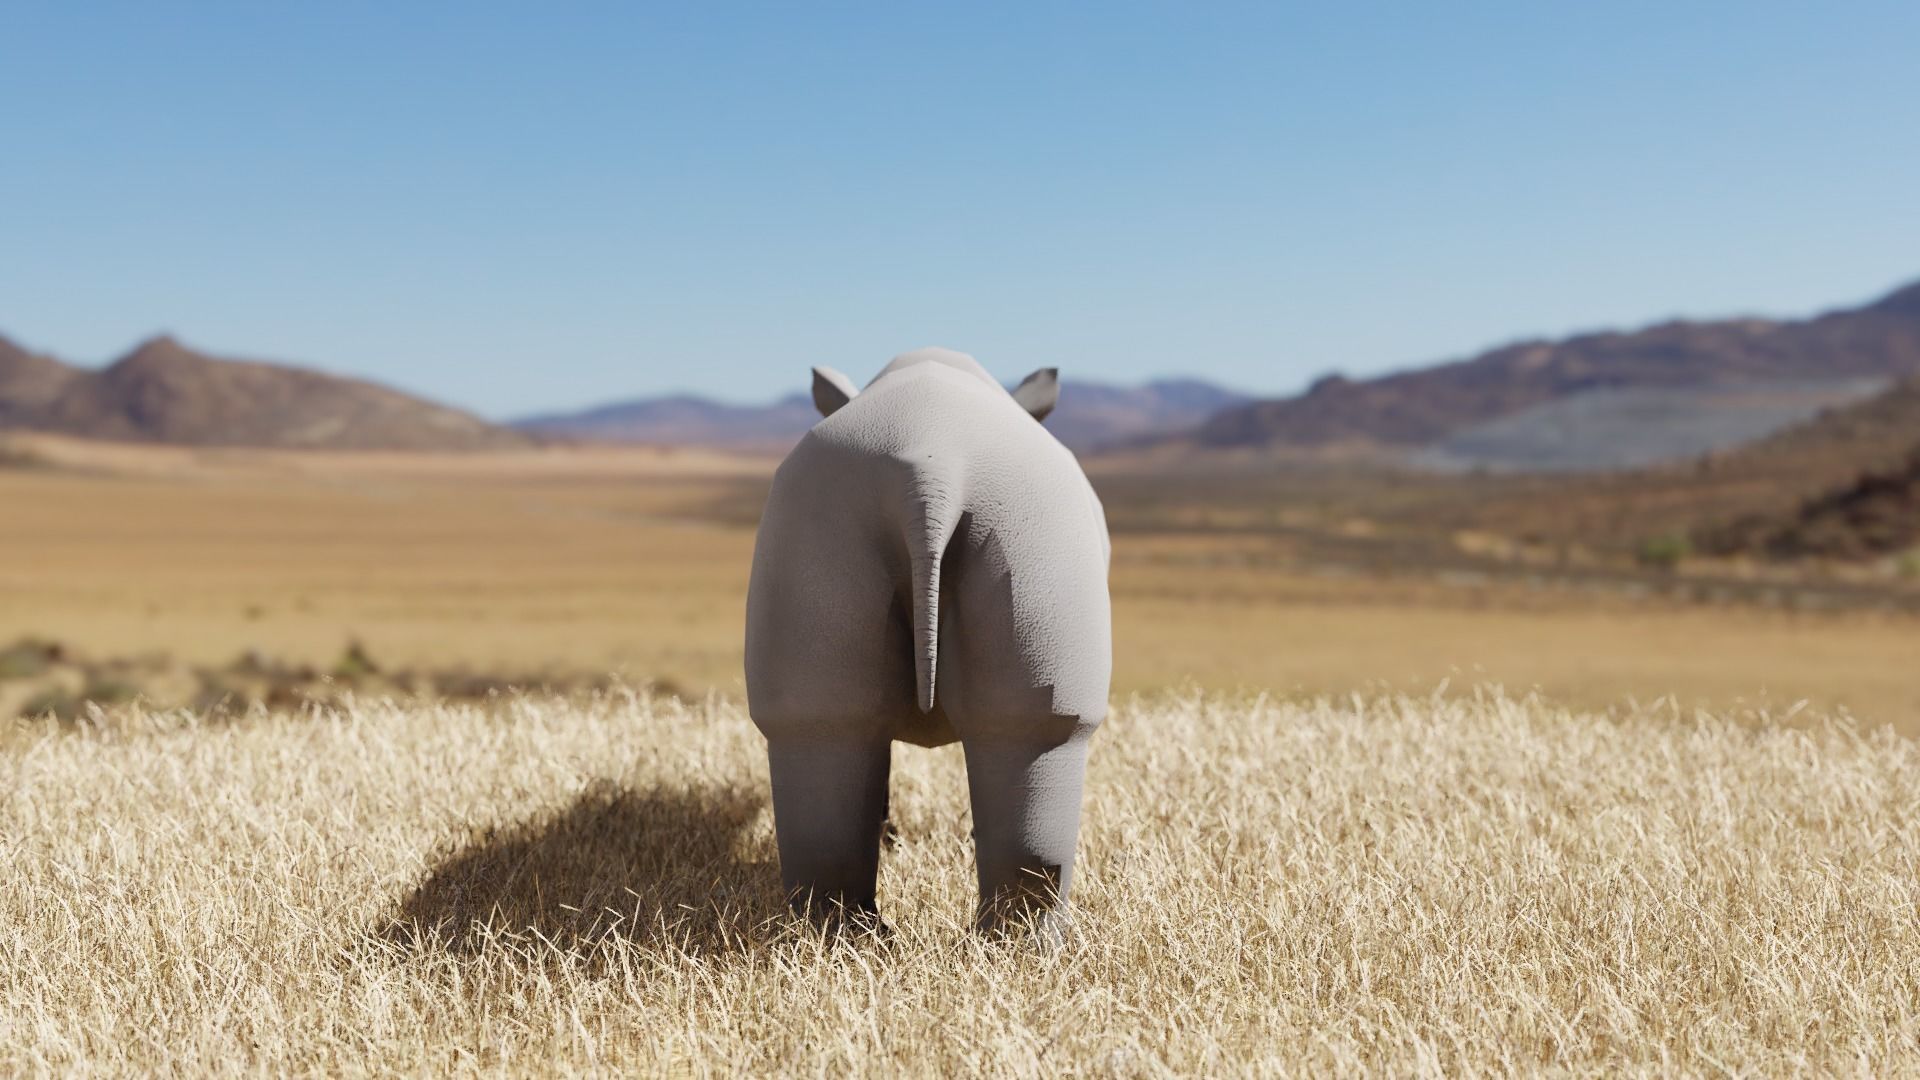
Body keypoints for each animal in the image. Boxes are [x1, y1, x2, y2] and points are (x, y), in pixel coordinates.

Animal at [745, 347, 1112, 936]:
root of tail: (933, 468)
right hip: (1032, 526)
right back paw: (1023, 944)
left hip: (824, 518)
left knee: (826, 726)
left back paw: (843, 939)